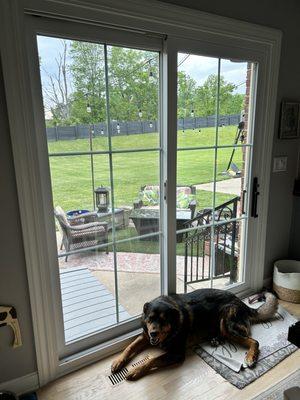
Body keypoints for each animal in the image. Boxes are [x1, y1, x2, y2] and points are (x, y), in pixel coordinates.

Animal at [111, 290, 278, 380]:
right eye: (150, 318)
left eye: (163, 320)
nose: (153, 333)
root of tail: (242, 303)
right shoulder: (145, 336)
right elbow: (129, 347)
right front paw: (118, 362)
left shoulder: (177, 354)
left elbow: (152, 360)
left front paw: (136, 371)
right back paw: (215, 339)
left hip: (227, 320)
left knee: (254, 341)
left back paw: (250, 357)